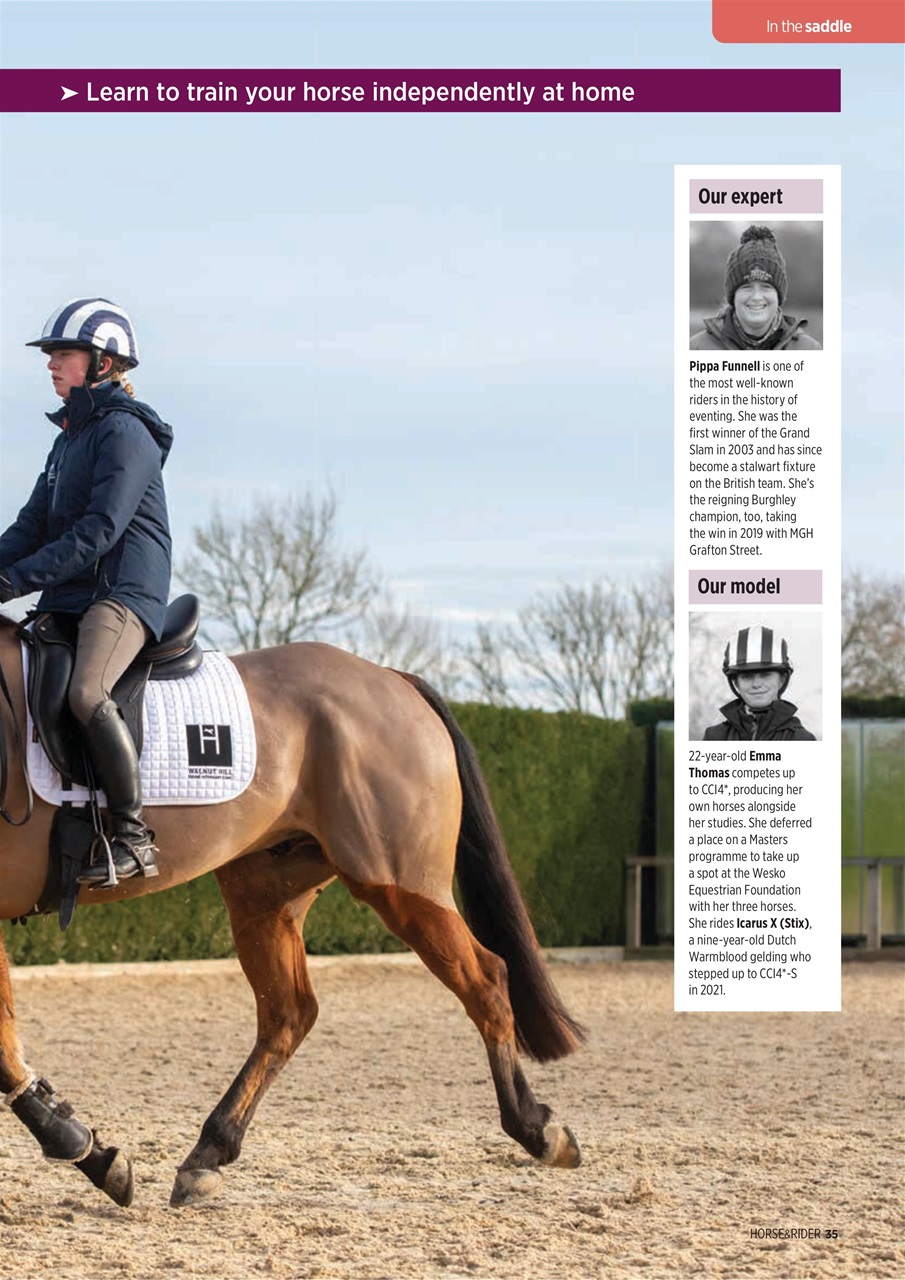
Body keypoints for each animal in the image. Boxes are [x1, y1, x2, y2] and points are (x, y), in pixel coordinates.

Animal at [0, 614, 584, 1208]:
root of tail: (391, 678)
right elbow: (6, 1048)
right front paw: (92, 1153)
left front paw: (85, 1149)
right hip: (265, 896)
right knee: (289, 1014)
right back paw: (208, 1153)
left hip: (398, 884)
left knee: (486, 979)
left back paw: (538, 1129)